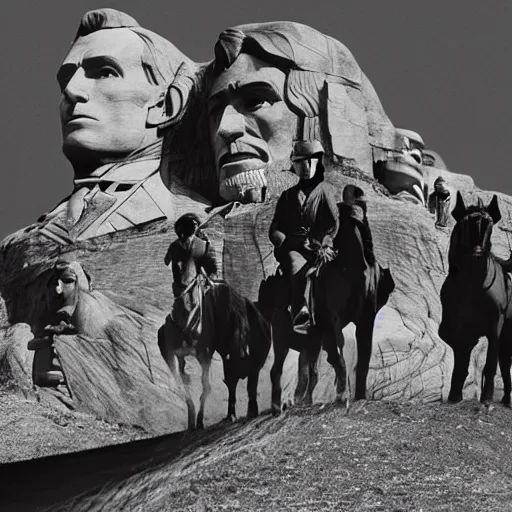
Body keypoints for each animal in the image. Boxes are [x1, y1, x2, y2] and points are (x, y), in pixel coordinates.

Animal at [260, 197, 396, 416]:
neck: (350, 269)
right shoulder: (333, 321)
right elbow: (337, 356)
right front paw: (341, 395)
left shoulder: (365, 320)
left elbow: (362, 360)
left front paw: (358, 396)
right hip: (282, 336)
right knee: (277, 370)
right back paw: (277, 406)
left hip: (311, 339)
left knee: (309, 371)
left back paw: (302, 401)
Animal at [438, 191, 512, 404]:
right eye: (464, 223)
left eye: (490, 223)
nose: (477, 252)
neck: (472, 285)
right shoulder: (459, 328)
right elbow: (461, 365)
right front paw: (454, 397)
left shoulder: (495, 325)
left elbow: (490, 363)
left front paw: (486, 397)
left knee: (504, 362)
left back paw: (505, 399)